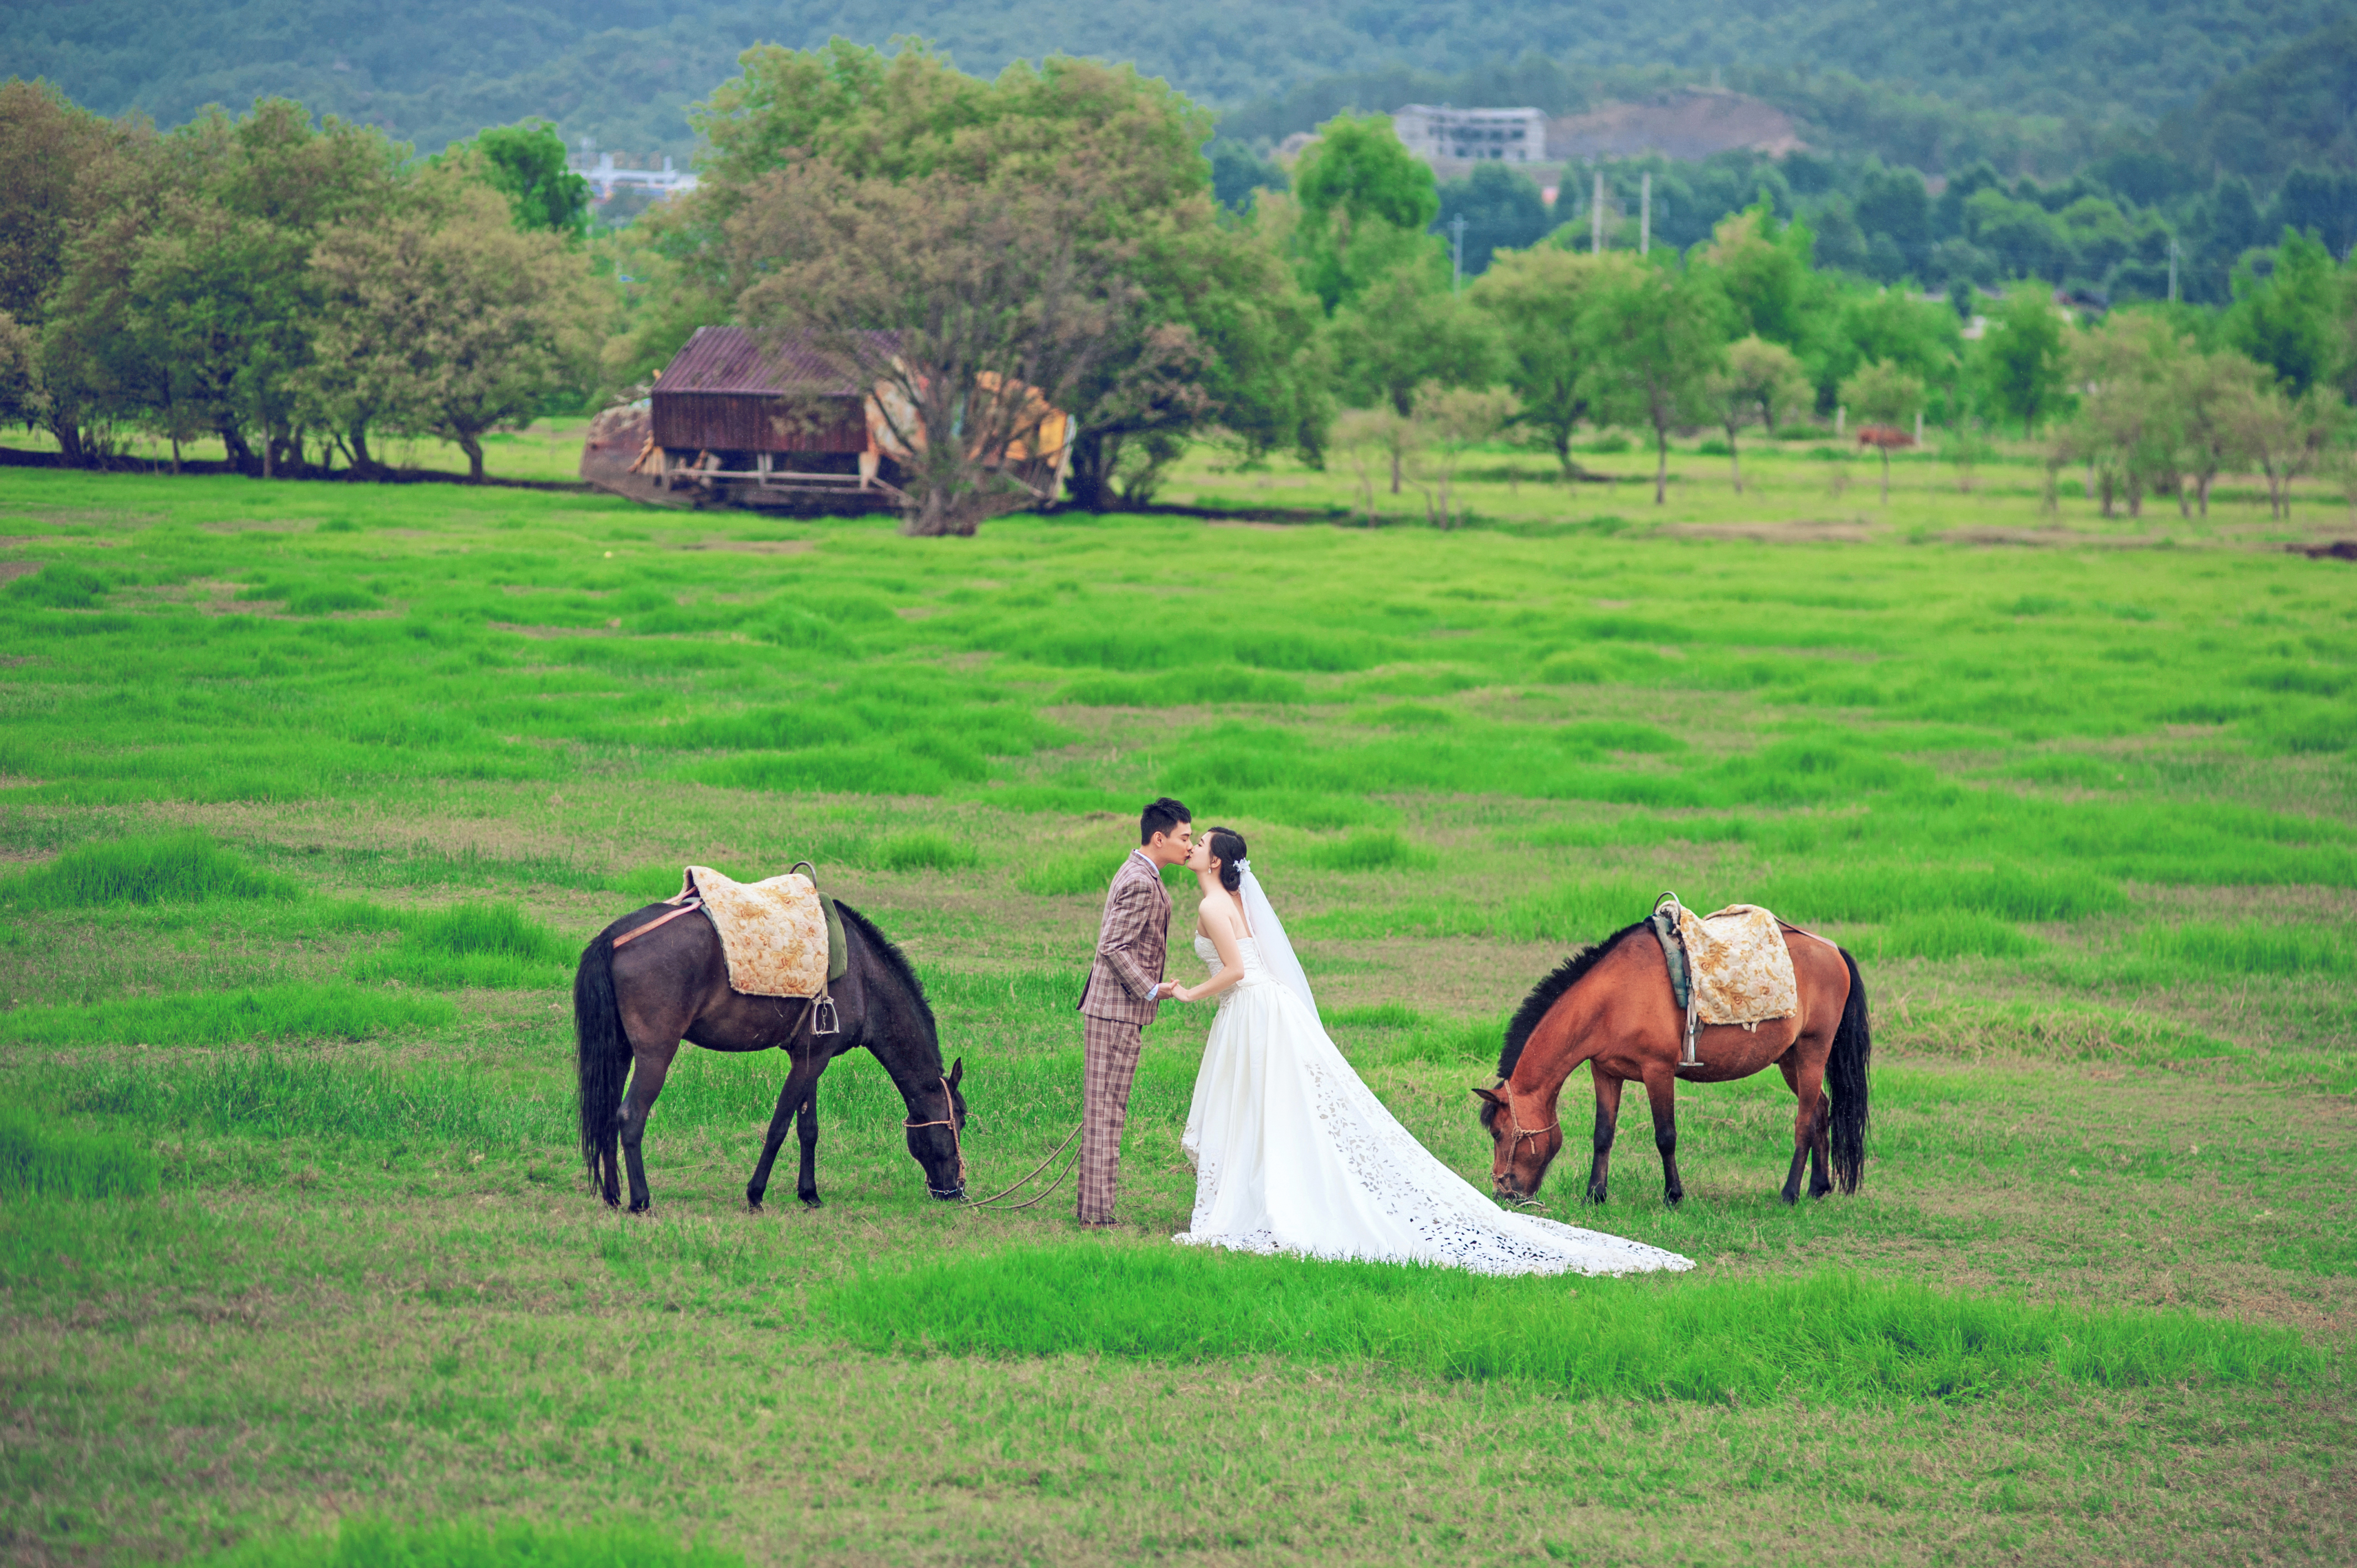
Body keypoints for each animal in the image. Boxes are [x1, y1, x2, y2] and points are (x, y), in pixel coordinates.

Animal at [565, 891, 961, 1207]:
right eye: (961, 1118)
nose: (955, 1192)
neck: (863, 975)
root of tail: (614, 936)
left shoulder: (810, 1057)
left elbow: (808, 1128)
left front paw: (809, 1194)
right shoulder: (810, 1061)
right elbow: (779, 1127)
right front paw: (755, 1194)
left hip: (620, 1052)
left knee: (607, 1115)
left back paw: (613, 1196)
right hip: (655, 1055)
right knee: (630, 1116)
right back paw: (641, 1201)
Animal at [1480, 924, 1866, 1202]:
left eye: (1498, 1133)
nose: (1503, 1193)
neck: (1613, 997)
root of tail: (1834, 950)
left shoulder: (1658, 1072)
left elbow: (1666, 1136)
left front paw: (1674, 1195)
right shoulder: (1605, 1072)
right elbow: (1603, 1134)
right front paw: (1595, 1195)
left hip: (1813, 1052)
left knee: (1804, 1122)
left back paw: (1790, 1193)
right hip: (1791, 1059)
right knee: (1820, 1111)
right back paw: (1818, 1187)